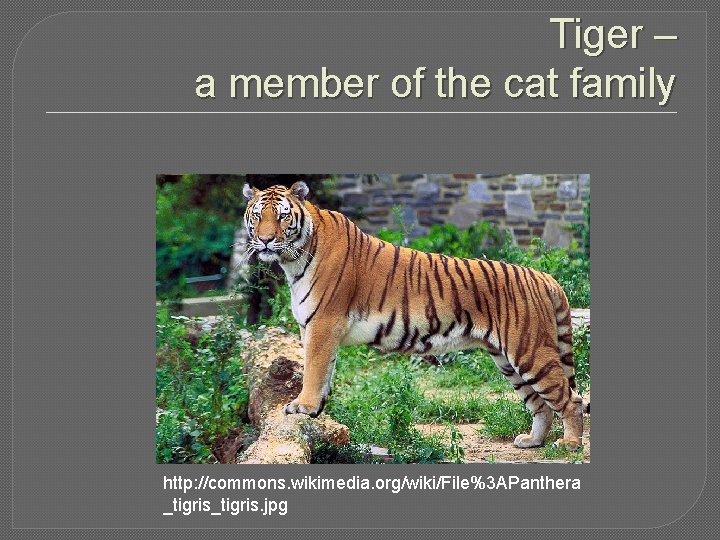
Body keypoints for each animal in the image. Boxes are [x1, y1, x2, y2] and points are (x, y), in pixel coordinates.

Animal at [243, 181, 588, 448]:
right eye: (258, 215)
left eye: (282, 215)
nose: (265, 240)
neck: (294, 260)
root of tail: (543, 276)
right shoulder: (314, 327)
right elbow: (324, 371)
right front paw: (317, 412)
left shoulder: (323, 324)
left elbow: (313, 370)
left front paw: (303, 406)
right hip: (507, 360)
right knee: (541, 405)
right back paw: (532, 441)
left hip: (530, 352)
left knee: (571, 399)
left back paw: (569, 444)